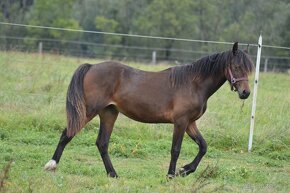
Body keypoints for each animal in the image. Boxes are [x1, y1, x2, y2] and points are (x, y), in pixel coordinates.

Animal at [43, 42, 254, 178]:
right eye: (236, 66)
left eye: (249, 68)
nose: (245, 93)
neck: (193, 84)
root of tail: (92, 66)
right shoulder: (180, 122)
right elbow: (175, 149)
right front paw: (171, 175)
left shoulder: (190, 123)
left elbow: (203, 146)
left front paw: (185, 170)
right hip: (88, 111)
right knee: (67, 133)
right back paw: (51, 165)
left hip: (109, 113)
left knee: (102, 143)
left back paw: (113, 174)